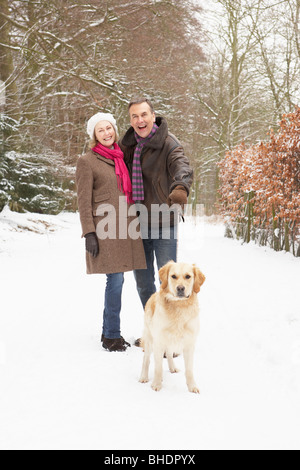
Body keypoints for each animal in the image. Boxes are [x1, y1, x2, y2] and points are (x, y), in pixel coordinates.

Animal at [139, 260, 205, 392]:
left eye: (188, 276)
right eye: (173, 276)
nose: (180, 288)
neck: (179, 306)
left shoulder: (189, 343)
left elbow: (189, 370)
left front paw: (192, 386)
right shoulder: (159, 341)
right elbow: (158, 367)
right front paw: (156, 384)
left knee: (169, 354)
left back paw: (172, 367)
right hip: (149, 339)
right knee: (146, 359)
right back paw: (144, 376)